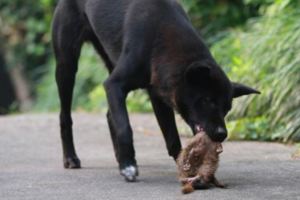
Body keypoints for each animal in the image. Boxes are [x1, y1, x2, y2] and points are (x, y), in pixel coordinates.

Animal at [51, 0, 258, 181]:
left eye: (227, 108)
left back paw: (119, 158)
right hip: (67, 65)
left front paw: (185, 169)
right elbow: (125, 127)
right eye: (207, 100)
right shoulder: (114, 84)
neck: (160, 35)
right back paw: (71, 158)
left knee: (111, 115)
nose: (222, 134)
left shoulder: (159, 95)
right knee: (65, 116)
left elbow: (172, 138)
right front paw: (128, 166)